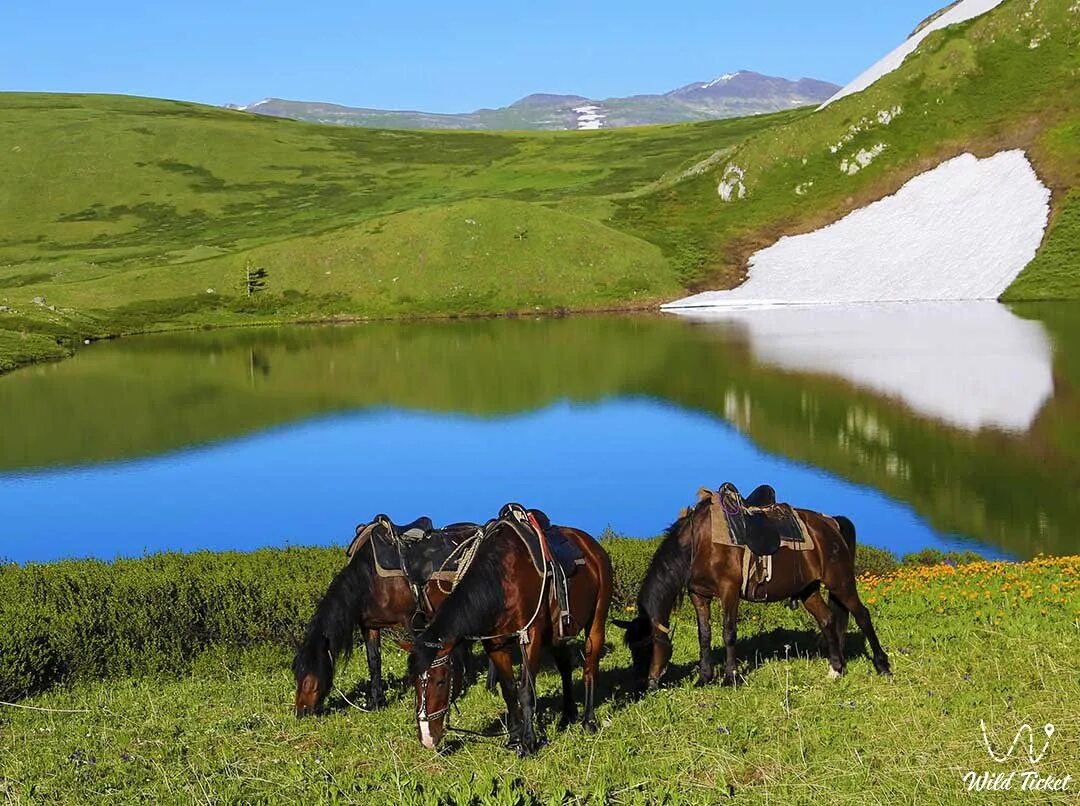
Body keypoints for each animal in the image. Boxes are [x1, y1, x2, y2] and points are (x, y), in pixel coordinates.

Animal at [293, 514, 483, 717]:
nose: (300, 712)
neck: (369, 579)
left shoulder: (413, 621)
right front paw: (377, 701)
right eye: (296, 674)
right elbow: (374, 661)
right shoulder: (370, 626)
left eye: (310, 678)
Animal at [406, 505, 613, 756]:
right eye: (414, 682)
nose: (427, 738)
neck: (503, 579)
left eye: (440, 681)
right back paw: (567, 716)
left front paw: (529, 742)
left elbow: (526, 691)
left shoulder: (530, 636)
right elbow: (509, 690)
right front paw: (514, 738)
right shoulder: (495, 643)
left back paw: (588, 721)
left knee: (590, 667)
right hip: (559, 633)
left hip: (596, 622)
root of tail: (593, 547)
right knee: (565, 668)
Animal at [613, 484, 889, 691]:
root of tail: (831, 523)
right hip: (808, 589)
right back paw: (835, 669)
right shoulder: (698, 594)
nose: (644, 685)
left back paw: (882, 665)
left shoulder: (729, 591)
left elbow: (728, 632)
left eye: (646, 646)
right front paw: (704, 677)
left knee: (862, 615)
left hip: (840, 581)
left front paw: (731, 677)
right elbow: (704, 634)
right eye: (632, 650)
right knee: (828, 620)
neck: (698, 543)